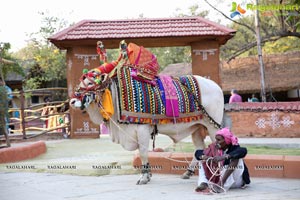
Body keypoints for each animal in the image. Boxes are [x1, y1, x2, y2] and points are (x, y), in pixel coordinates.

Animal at [69, 41, 224, 184]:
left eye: (90, 83)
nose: (72, 101)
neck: (116, 95)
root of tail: (217, 87)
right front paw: (148, 175)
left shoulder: (142, 130)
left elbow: (143, 152)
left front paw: (144, 177)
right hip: (197, 127)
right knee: (199, 148)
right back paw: (188, 172)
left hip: (212, 126)